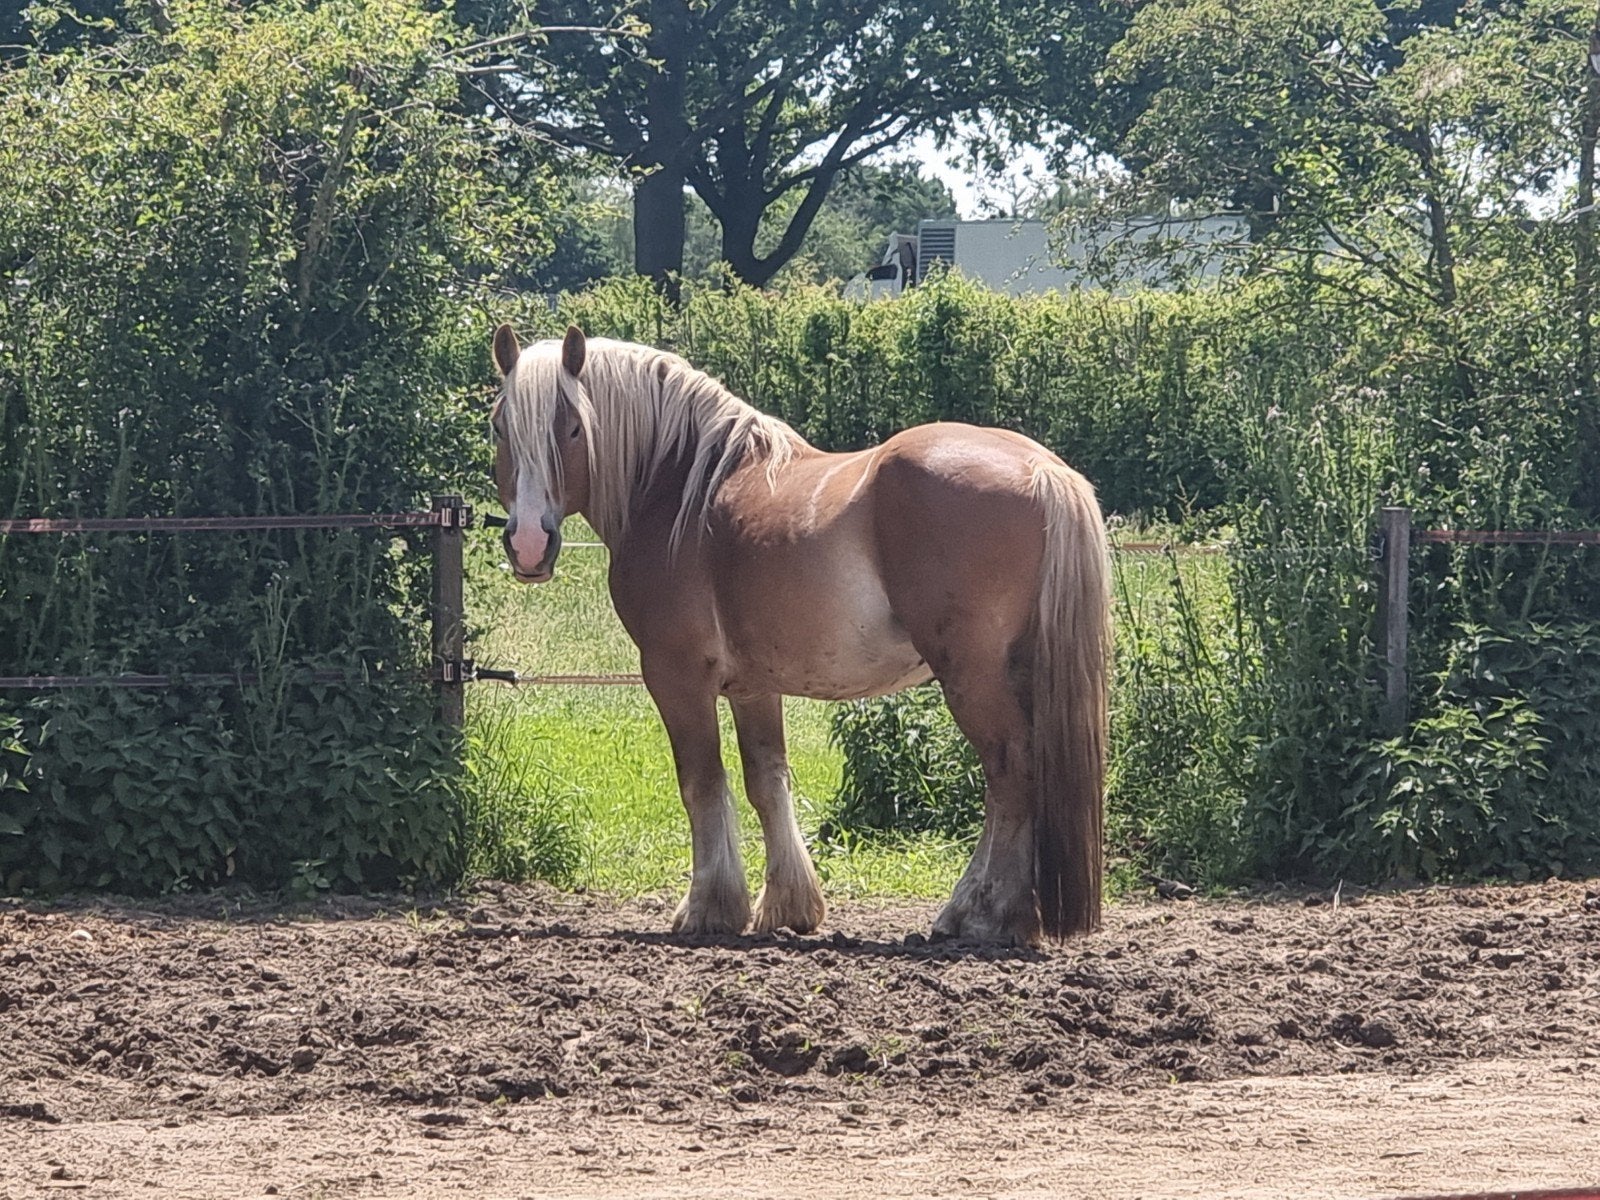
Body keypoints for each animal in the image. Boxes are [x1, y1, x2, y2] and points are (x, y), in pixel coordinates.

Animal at [489, 324, 1110, 946]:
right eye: (499, 425)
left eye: (573, 427)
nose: (528, 544)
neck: (678, 487)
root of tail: (1041, 470)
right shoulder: (753, 686)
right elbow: (767, 782)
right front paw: (789, 906)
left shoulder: (676, 675)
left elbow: (701, 782)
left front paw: (709, 908)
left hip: (972, 677)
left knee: (1009, 772)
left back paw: (985, 914)